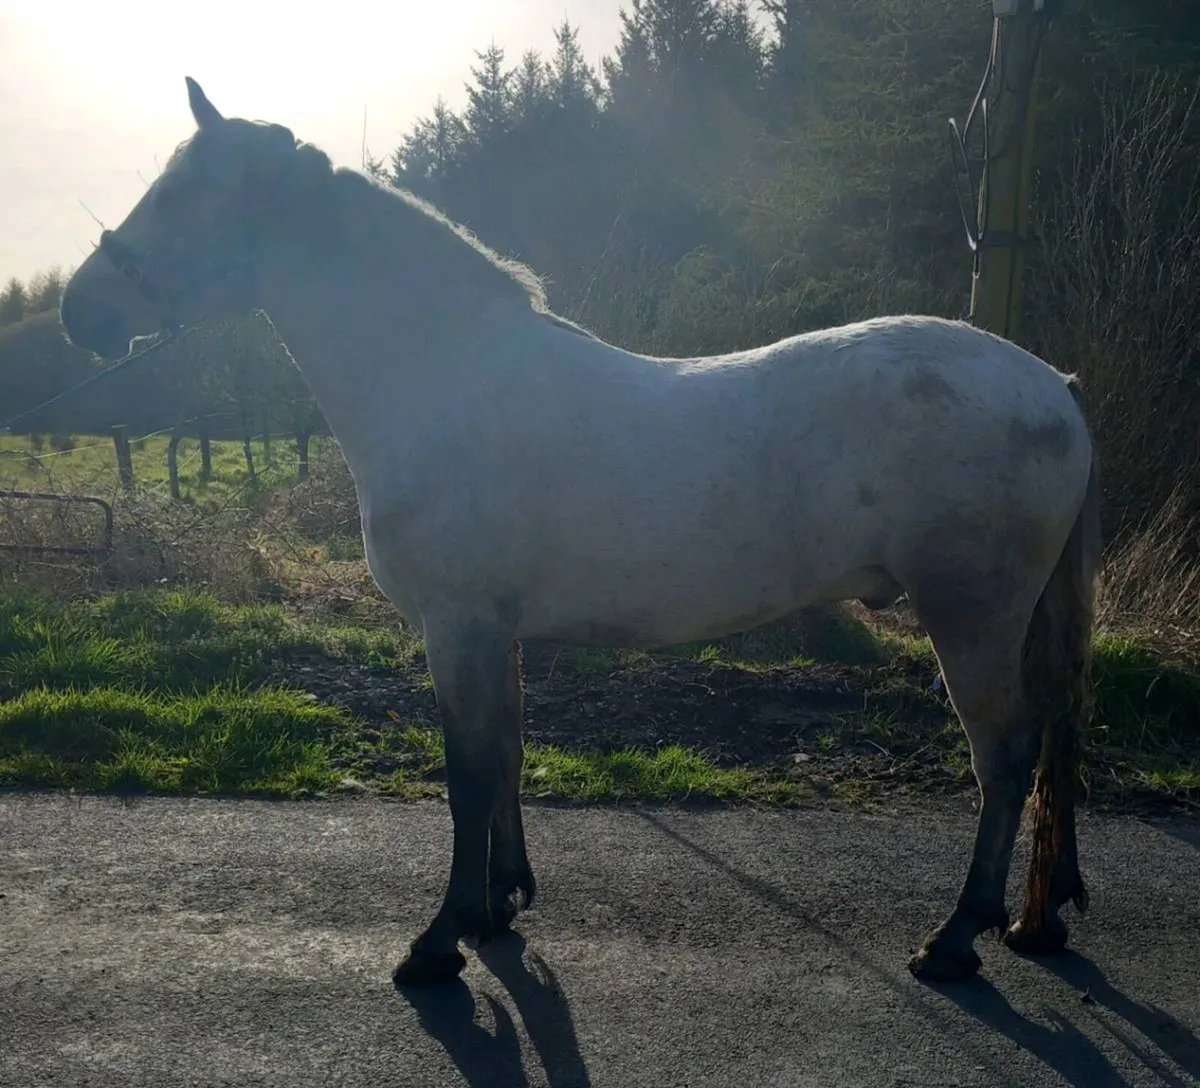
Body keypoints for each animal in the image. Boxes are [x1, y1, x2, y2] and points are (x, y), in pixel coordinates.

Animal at [59, 78, 1100, 990]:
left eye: (180, 195)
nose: (79, 311)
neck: (443, 376)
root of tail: (1053, 387)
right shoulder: (495, 630)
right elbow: (507, 754)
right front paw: (498, 905)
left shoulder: (458, 625)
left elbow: (468, 772)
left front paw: (438, 943)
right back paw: (1023, 921)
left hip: (970, 617)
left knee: (1004, 757)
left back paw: (955, 938)